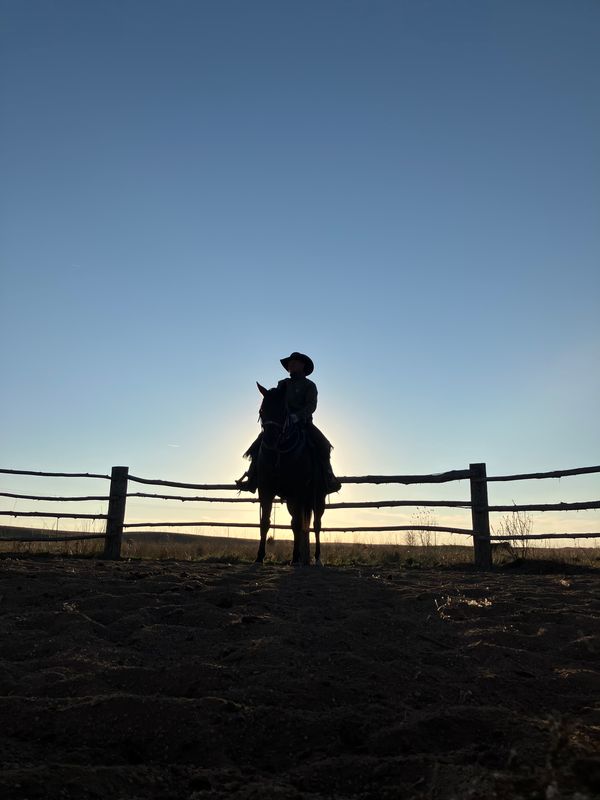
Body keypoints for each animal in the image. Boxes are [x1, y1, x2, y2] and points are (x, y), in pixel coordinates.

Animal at [254, 382, 326, 566]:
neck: (279, 453)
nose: (270, 441)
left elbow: (297, 524)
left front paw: (295, 558)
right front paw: (259, 557)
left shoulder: (297, 491)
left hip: (317, 498)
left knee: (316, 524)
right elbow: (265, 522)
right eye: (262, 411)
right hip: (293, 502)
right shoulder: (266, 490)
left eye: (282, 411)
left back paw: (317, 558)